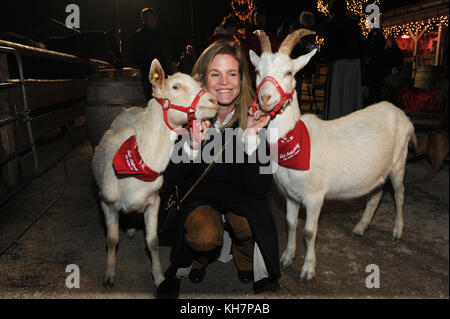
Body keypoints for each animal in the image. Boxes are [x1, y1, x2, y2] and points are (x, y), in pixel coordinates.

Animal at [92, 59, 218, 288]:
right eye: (175, 87)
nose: (213, 101)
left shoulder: (153, 200)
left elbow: (152, 241)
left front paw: (159, 277)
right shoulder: (106, 203)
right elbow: (112, 240)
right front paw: (110, 275)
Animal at [248, 29, 416, 280]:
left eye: (289, 72)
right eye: (258, 72)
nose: (266, 98)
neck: (294, 141)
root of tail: (401, 114)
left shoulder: (314, 197)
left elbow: (309, 231)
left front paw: (308, 269)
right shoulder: (290, 195)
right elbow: (290, 224)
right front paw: (287, 257)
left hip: (398, 164)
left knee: (399, 194)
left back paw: (397, 231)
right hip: (378, 169)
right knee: (376, 193)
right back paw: (360, 227)